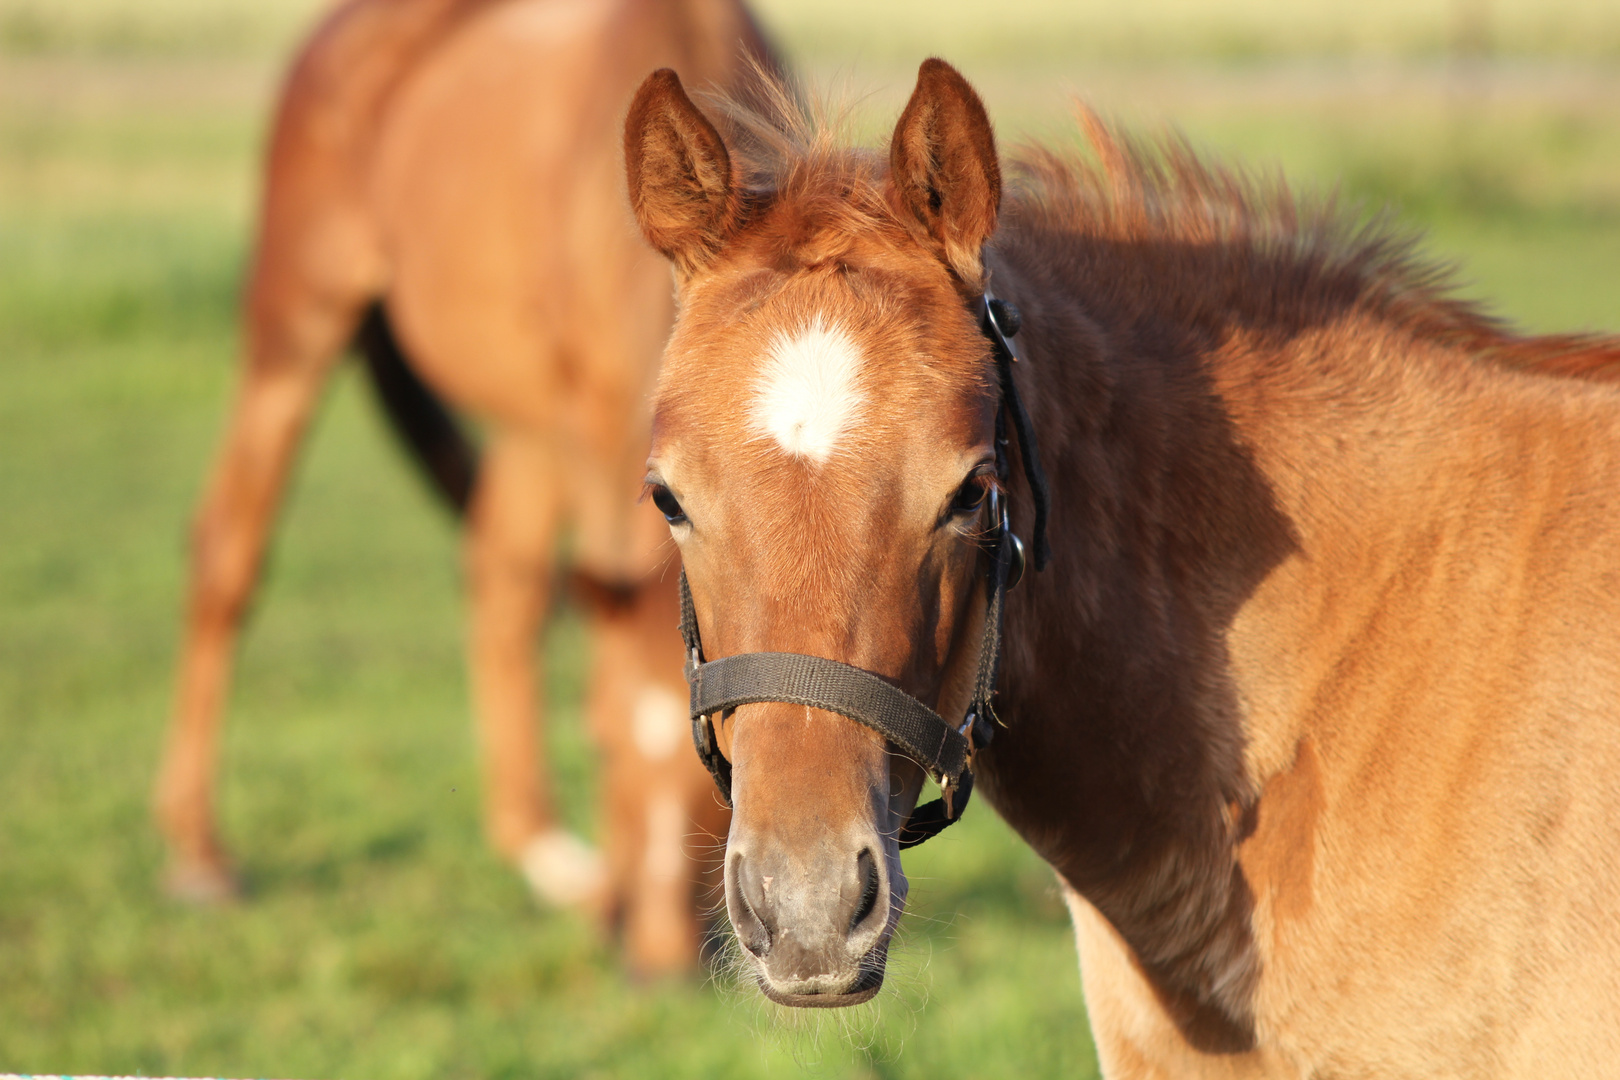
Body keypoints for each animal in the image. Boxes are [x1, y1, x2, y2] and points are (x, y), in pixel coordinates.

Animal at [154, 0, 774, 977]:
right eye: (598, 743)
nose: (657, 962)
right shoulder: (582, 415)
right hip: (299, 323)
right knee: (231, 549)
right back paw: (199, 857)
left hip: (521, 422)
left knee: (500, 581)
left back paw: (552, 860)